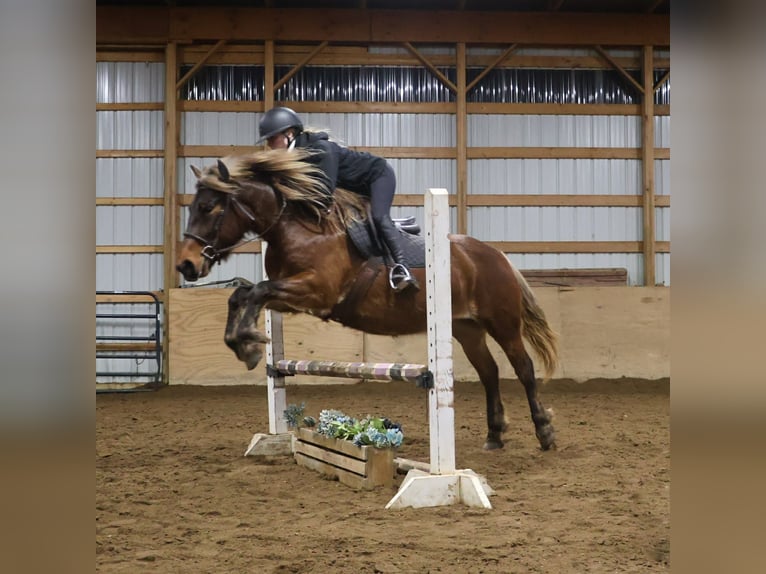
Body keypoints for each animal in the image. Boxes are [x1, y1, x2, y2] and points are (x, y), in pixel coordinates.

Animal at [176, 149, 559, 451]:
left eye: (207, 207)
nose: (186, 264)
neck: (296, 228)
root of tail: (496, 255)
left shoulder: (316, 291)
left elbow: (256, 291)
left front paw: (250, 344)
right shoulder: (291, 296)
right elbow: (243, 293)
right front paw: (243, 344)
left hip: (502, 323)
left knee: (523, 368)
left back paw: (544, 432)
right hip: (466, 328)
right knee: (489, 372)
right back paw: (494, 435)